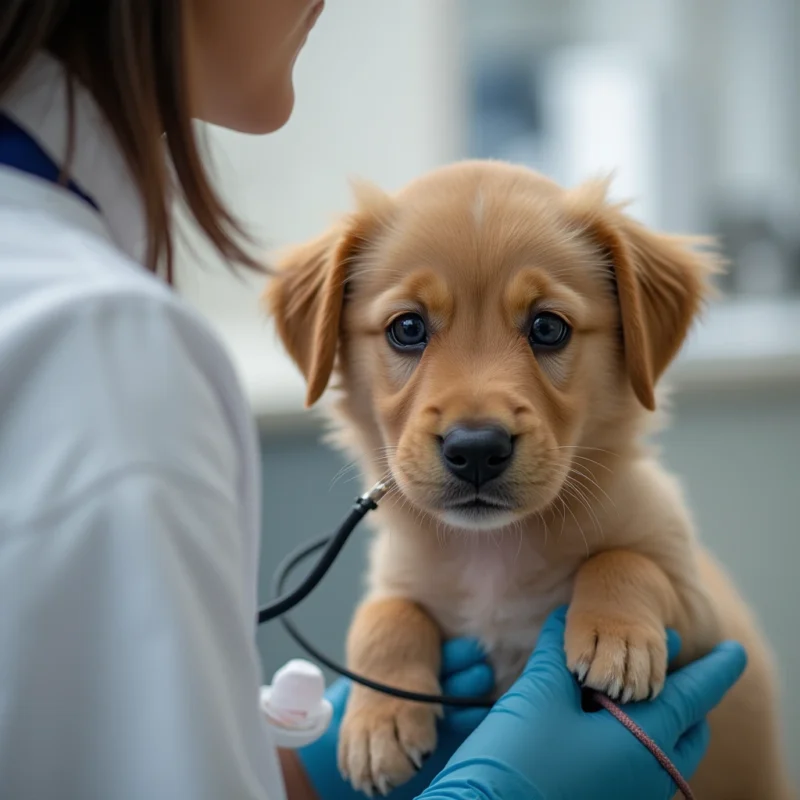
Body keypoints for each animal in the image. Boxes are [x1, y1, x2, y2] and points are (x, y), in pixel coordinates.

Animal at [268, 162, 792, 800]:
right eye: (407, 328)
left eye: (547, 327)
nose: (475, 450)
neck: (493, 550)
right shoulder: (397, 575)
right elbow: (384, 614)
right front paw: (377, 720)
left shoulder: (709, 626)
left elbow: (625, 560)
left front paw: (615, 636)